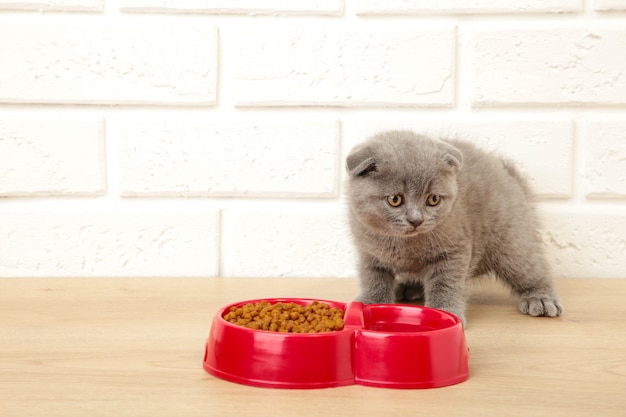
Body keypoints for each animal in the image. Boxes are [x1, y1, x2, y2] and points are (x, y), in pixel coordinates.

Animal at [344, 130, 564, 324]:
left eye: (433, 199)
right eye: (395, 199)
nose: (416, 220)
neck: (404, 243)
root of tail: (509, 174)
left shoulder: (454, 250)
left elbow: (445, 283)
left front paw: (445, 312)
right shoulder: (369, 253)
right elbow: (373, 278)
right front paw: (369, 303)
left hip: (512, 243)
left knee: (530, 267)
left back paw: (541, 298)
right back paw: (407, 288)